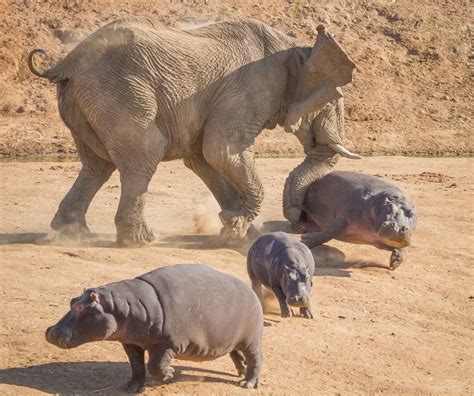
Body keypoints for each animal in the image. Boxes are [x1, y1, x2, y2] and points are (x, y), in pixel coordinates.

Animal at [27, 17, 356, 244]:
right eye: (333, 100)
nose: (296, 221)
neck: (296, 48)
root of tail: (65, 63)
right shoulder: (249, 90)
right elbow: (221, 151)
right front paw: (236, 227)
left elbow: (203, 157)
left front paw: (238, 229)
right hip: (120, 93)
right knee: (144, 154)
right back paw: (141, 241)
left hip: (83, 102)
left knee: (97, 165)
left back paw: (72, 234)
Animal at [45, 264, 262, 392]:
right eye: (72, 300)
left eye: (81, 307)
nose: (50, 332)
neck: (124, 306)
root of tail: (252, 291)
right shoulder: (130, 343)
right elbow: (136, 365)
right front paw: (131, 387)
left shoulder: (168, 344)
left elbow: (154, 366)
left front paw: (169, 374)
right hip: (231, 339)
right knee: (236, 354)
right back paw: (241, 373)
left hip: (251, 339)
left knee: (256, 359)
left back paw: (247, 383)